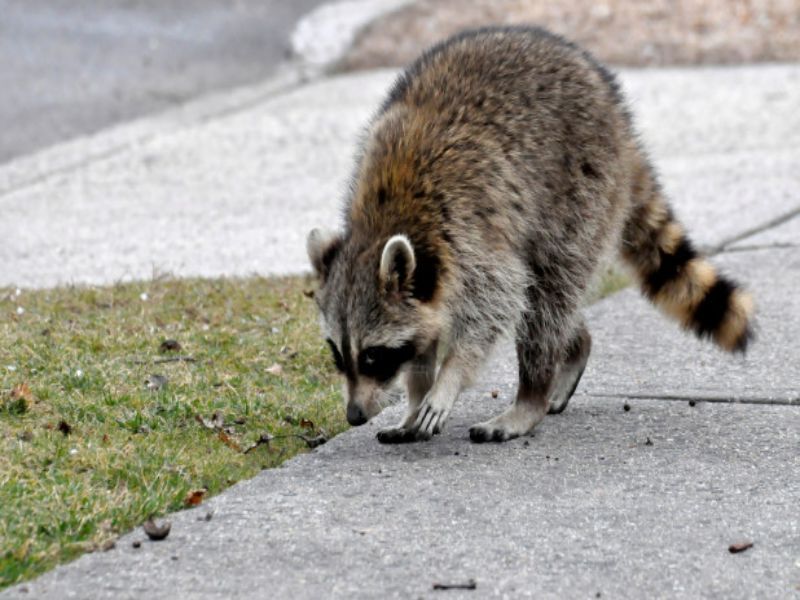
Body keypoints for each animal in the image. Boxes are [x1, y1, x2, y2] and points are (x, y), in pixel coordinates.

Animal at [307, 26, 754, 444]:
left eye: (373, 356)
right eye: (337, 354)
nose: (354, 416)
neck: (385, 219)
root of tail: (617, 115)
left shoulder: (470, 238)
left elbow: (497, 303)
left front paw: (449, 378)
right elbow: (424, 338)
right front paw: (415, 398)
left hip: (580, 190)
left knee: (547, 298)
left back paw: (531, 396)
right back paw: (574, 346)